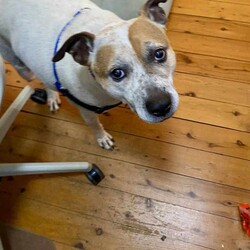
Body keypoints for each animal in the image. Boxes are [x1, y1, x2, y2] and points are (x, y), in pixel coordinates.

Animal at [0, 0, 180, 148]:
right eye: (117, 73)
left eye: (159, 54)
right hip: (21, 66)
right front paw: (102, 138)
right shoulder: (86, 111)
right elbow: (95, 125)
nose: (160, 106)